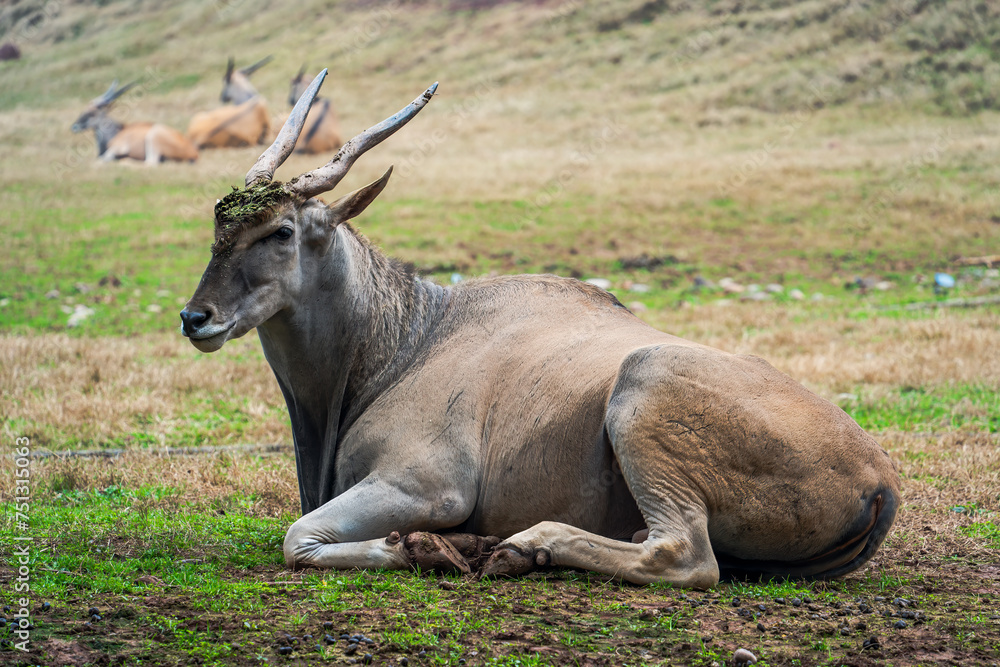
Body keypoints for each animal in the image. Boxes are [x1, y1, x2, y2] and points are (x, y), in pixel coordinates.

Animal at [182, 70, 908, 588]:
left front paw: (423, 547)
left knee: (686, 558)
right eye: (217, 224)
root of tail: (880, 480)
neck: (404, 338)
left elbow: (298, 540)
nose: (196, 317)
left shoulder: (423, 485)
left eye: (280, 232)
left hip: (644, 382)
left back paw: (527, 546)